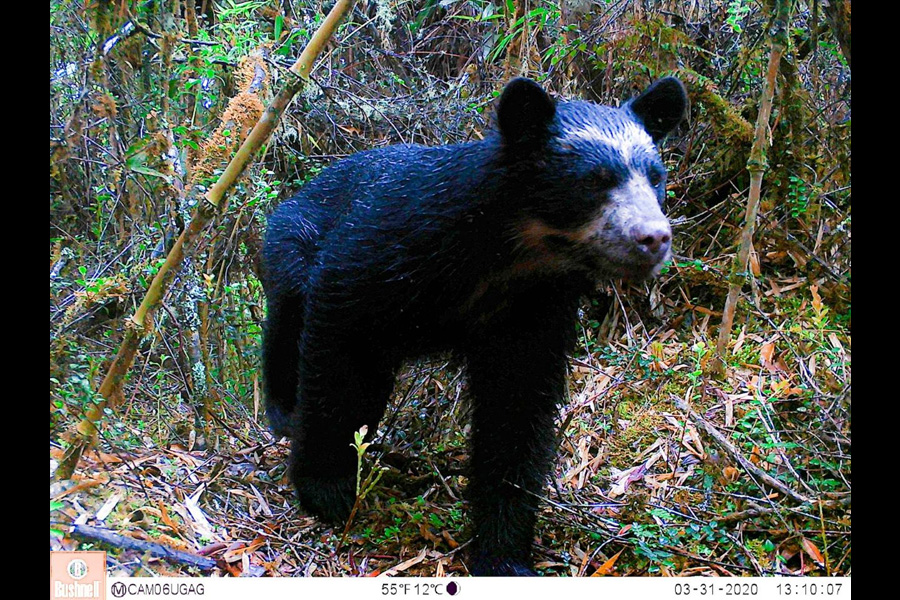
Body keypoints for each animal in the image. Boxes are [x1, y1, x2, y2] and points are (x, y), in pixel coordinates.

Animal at [261, 76, 687, 576]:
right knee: (289, 330)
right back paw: (283, 412)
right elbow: (339, 355)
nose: (654, 238)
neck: (509, 252)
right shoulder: (379, 253)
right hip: (291, 247)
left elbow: (517, 410)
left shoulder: (533, 310)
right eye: (593, 181)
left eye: (655, 176)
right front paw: (325, 488)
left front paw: (504, 552)